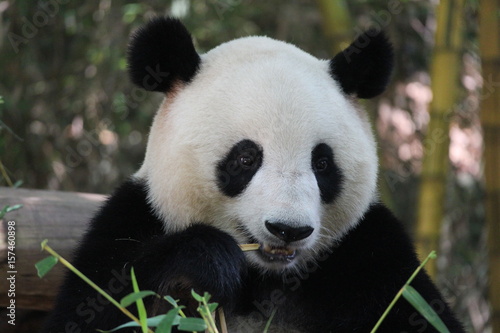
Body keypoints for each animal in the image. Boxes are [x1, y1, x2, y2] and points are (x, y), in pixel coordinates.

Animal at [42, 17, 464, 332]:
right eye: (246, 159)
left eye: (322, 163)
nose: (288, 230)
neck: (264, 276)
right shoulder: (131, 221)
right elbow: (104, 305)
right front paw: (208, 260)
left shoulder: (371, 257)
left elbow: (421, 313)